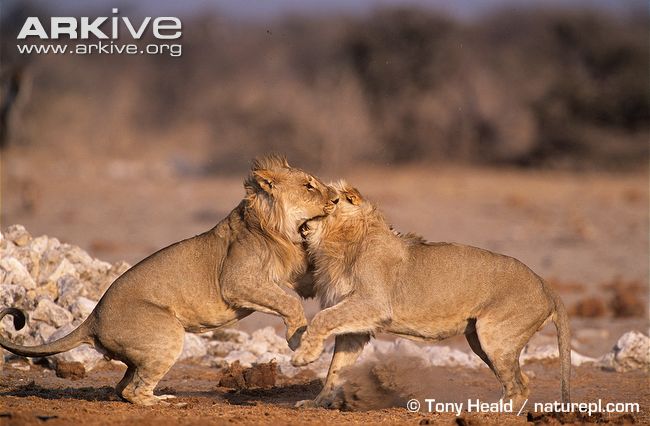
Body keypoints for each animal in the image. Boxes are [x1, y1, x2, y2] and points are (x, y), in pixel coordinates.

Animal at [0, 156, 334, 406]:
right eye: (309, 186)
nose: (334, 198)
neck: (278, 230)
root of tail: (92, 319)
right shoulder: (237, 282)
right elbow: (287, 301)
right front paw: (297, 340)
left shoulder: (295, 274)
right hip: (168, 333)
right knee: (134, 390)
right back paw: (168, 401)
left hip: (142, 352)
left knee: (122, 388)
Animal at [288, 181, 568, 408]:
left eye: (333, 200)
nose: (306, 220)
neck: (338, 243)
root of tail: (547, 287)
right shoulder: (356, 326)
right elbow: (336, 369)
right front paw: (316, 403)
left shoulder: (373, 302)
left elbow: (322, 318)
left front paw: (303, 355)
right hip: (479, 340)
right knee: (524, 382)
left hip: (495, 337)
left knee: (518, 387)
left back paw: (488, 412)